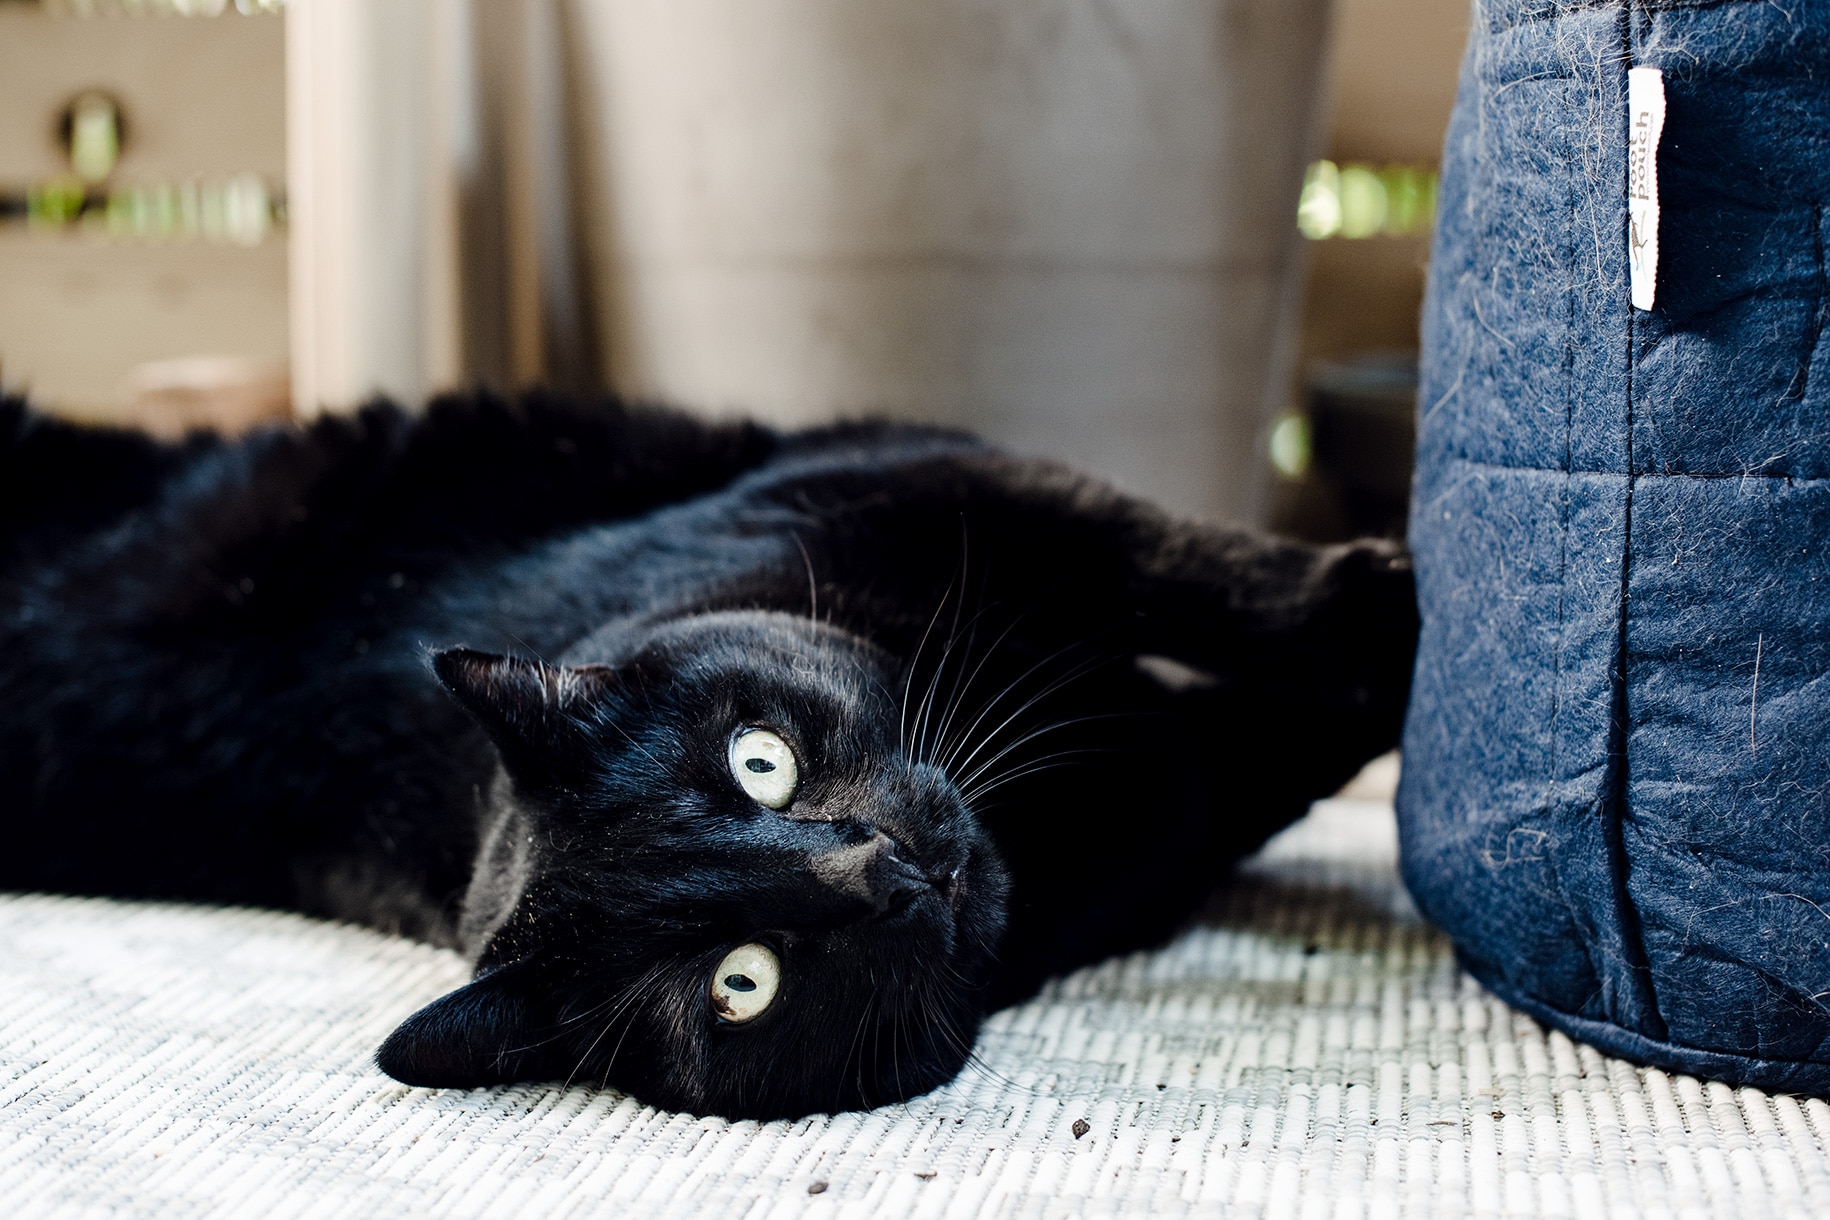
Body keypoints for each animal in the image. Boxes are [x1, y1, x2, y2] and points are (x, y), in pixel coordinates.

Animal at [0, 391, 1412, 1119]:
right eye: (742, 982)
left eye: (758, 762)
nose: (888, 872)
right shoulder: (1181, 805)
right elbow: (1284, 727)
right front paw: (1404, 664)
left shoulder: (940, 477)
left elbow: (1184, 564)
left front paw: (1388, 604)